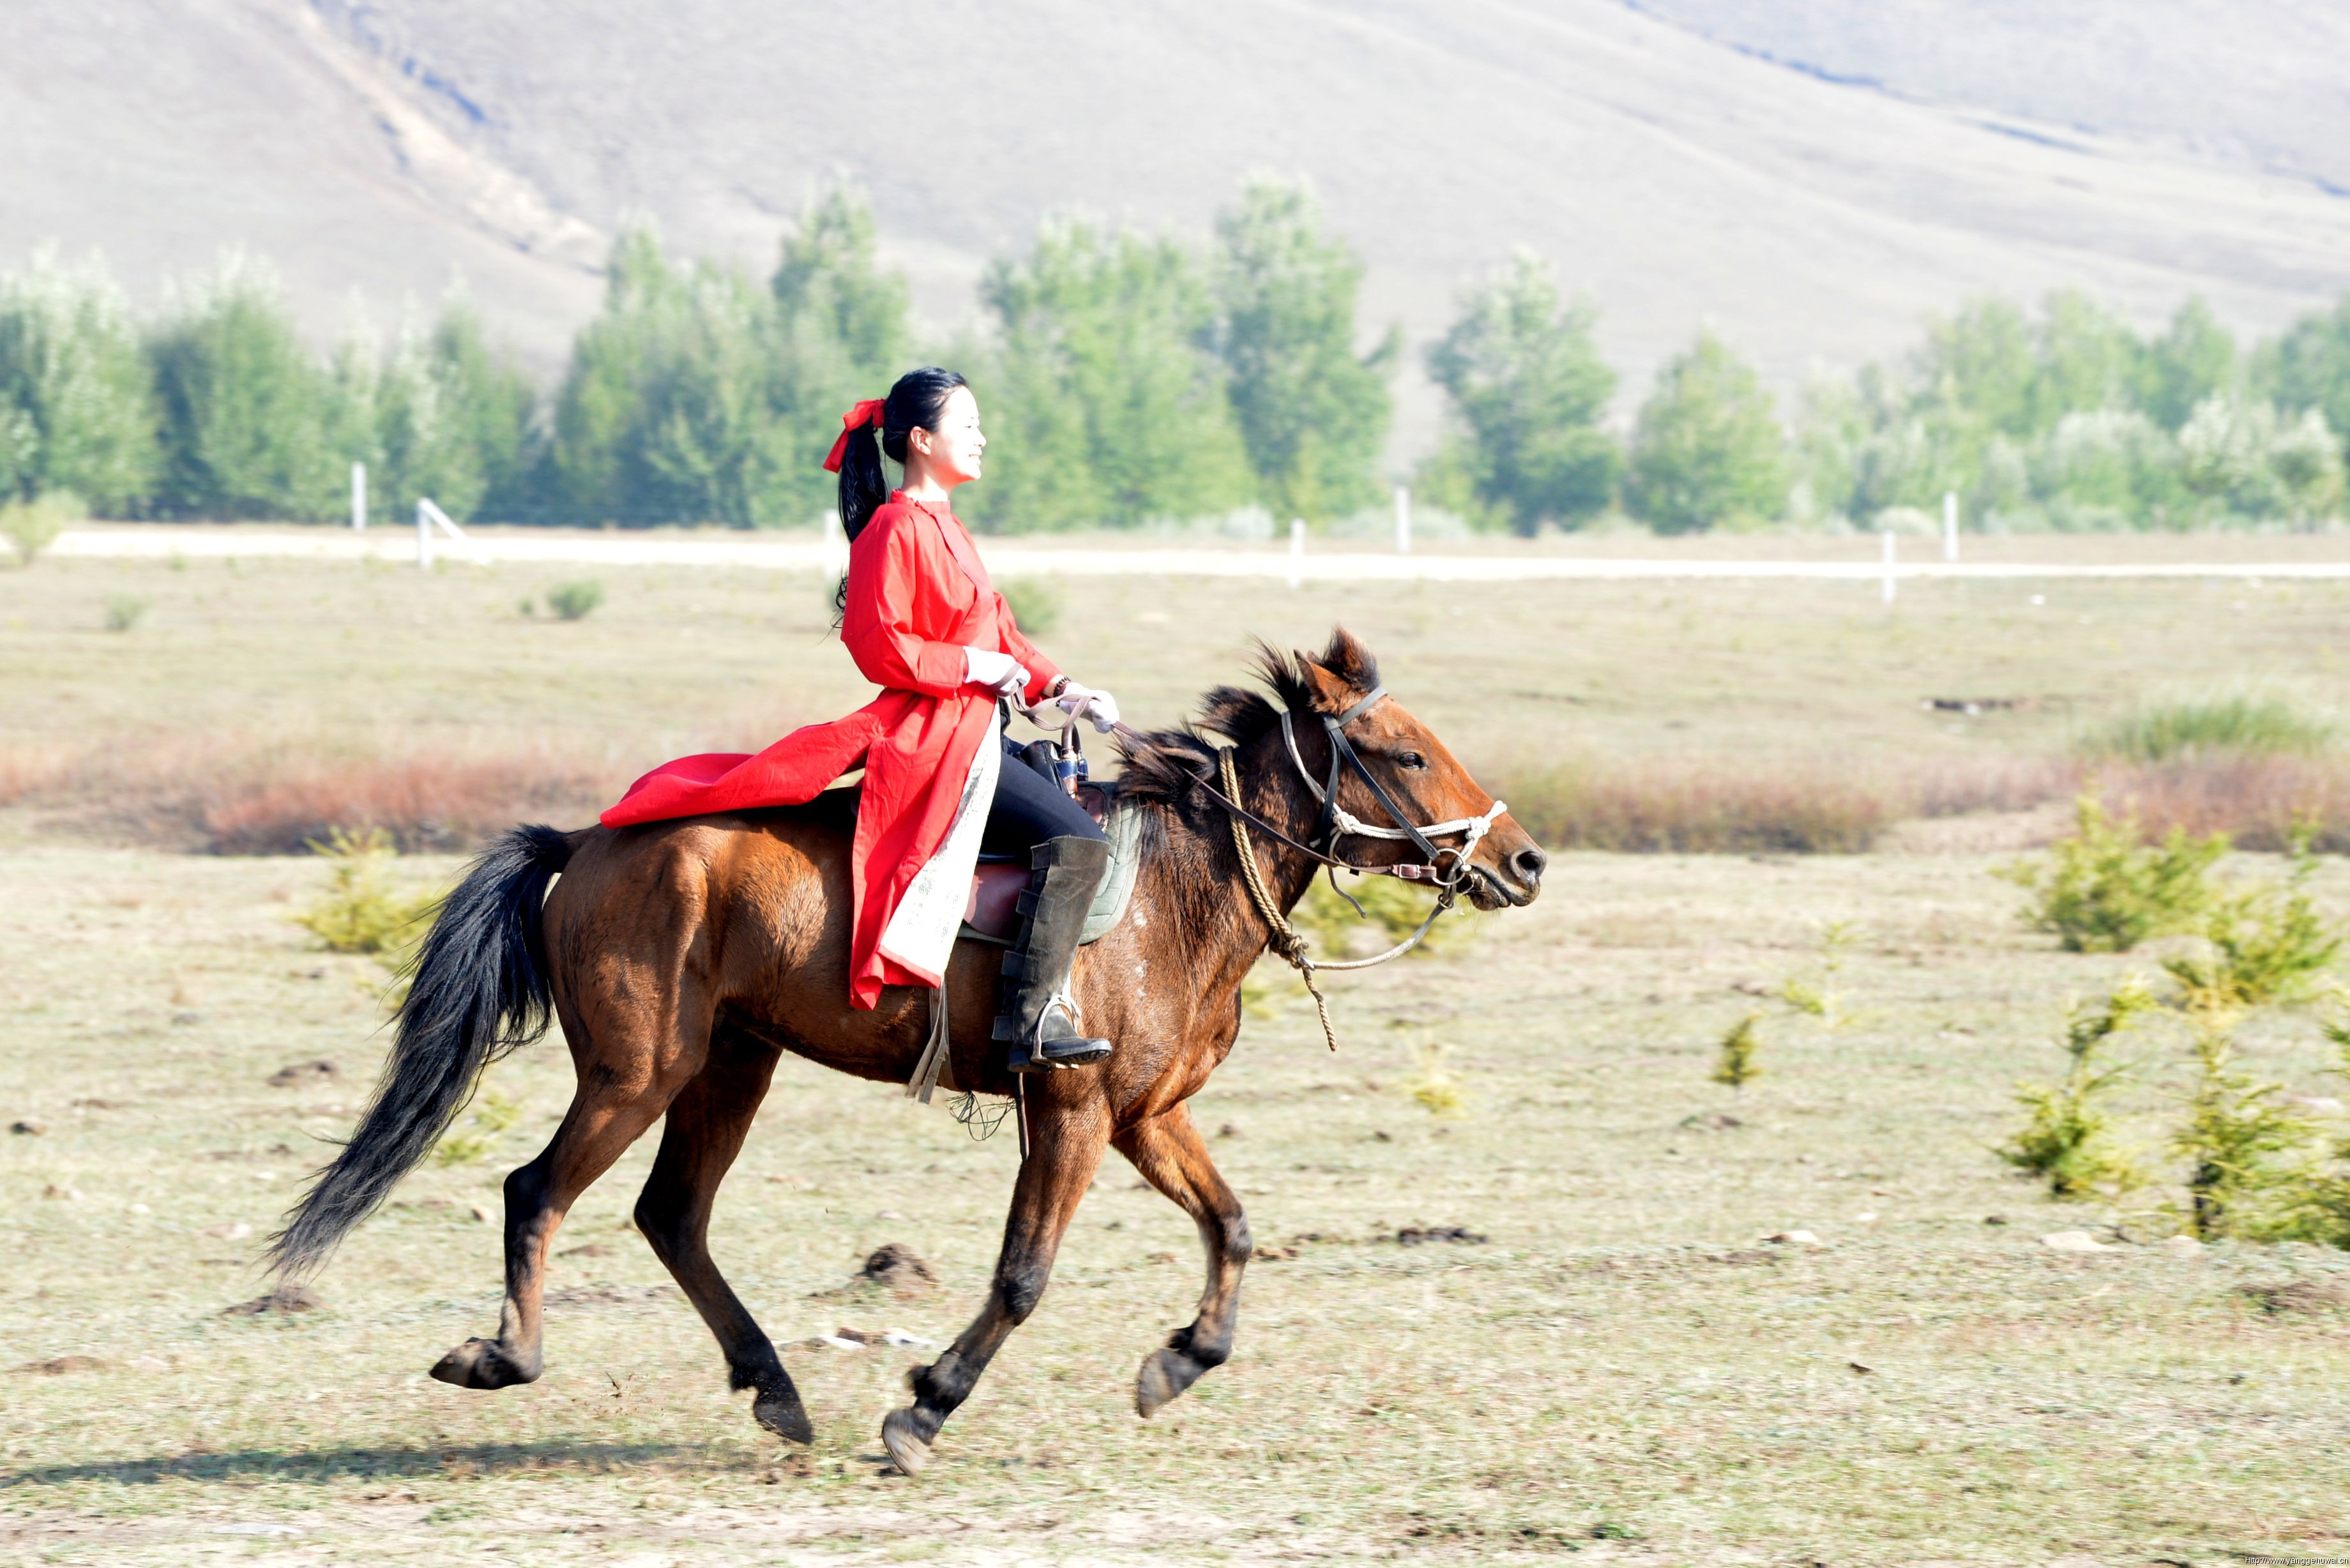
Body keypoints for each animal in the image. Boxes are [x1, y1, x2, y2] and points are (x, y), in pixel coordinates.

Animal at [270, 625, 1542, 1476]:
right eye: (1406, 754)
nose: (1523, 860)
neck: (1176, 885)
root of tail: (588, 841)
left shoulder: (1144, 1116)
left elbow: (1231, 1226)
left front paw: (1180, 1360)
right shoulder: (1072, 1113)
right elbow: (1024, 1275)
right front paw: (926, 1404)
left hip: (733, 1063)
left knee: (671, 1214)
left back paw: (772, 1386)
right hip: (639, 1072)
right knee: (538, 1190)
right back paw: (507, 1357)